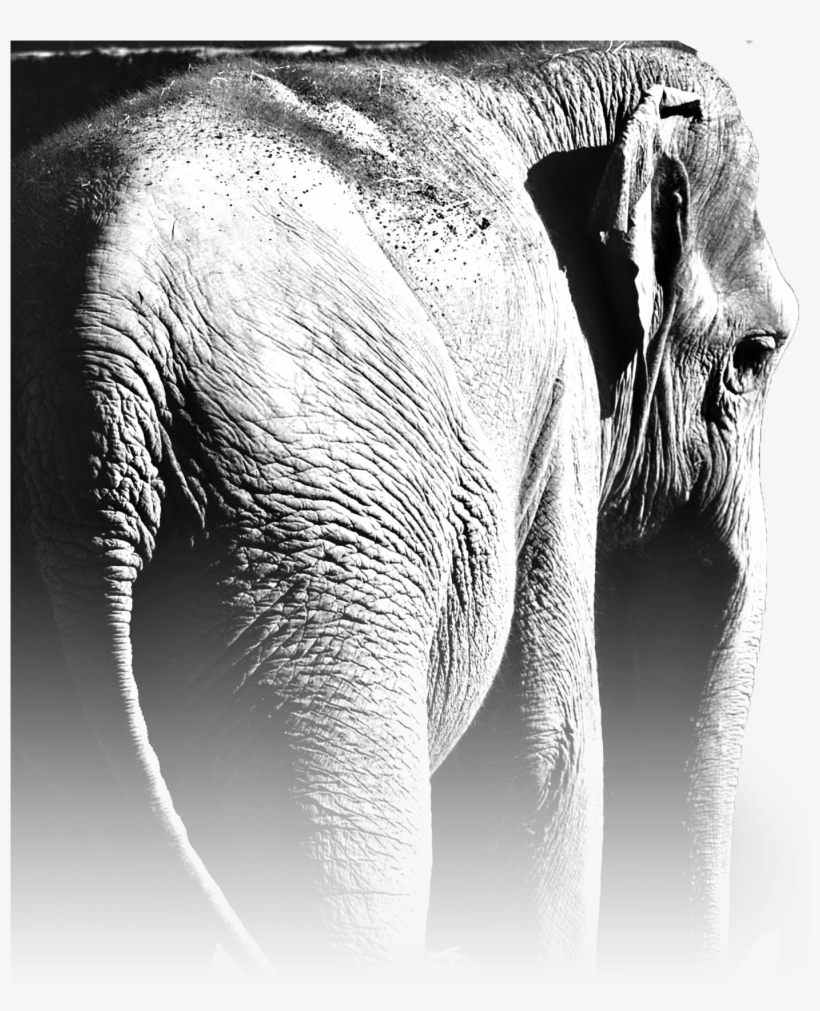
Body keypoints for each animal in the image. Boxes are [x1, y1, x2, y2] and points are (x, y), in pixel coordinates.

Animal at [11, 41, 797, 985]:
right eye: (757, 354)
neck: (520, 74)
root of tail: (95, 354)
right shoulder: (557, 405)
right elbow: (549, 754)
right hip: (313, 564)